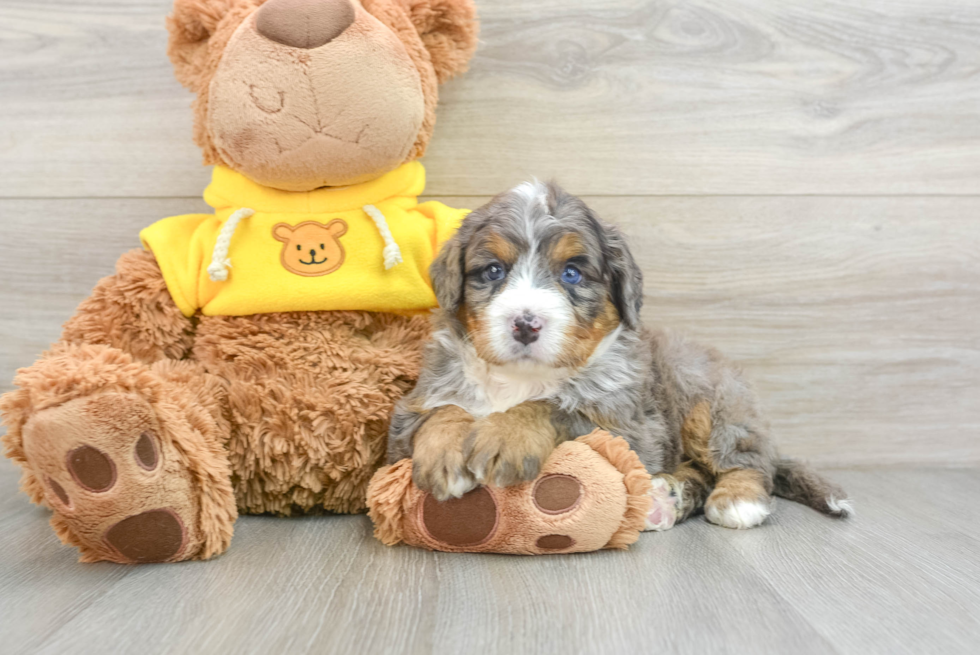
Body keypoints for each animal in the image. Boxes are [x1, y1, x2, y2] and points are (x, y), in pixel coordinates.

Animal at [388, 182, 848, 532]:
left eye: (572, 272)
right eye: (494, 271)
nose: (525, 324)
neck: (522, 377)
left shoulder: (629, 427)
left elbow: (554, 406)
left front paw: (507, 434)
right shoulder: (409, 413)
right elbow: (442, 411)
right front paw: (445, 454)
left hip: (709, 398)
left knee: (747, 461)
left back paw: (737, 500)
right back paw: (667, 498)